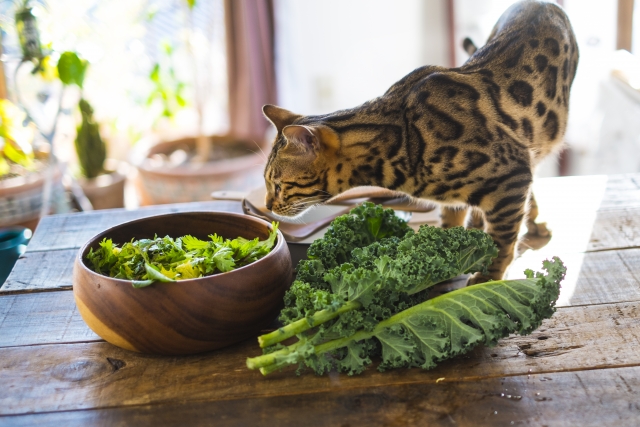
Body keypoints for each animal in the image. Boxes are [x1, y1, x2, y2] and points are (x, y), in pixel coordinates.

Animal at [262, 0, 580, 284]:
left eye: (278, 185)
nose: (266, 207)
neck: (402, 142)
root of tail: (542, 2)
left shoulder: (512, 175)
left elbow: (501, 241)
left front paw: (489, 275)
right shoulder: (473, 190)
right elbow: (453, 222)